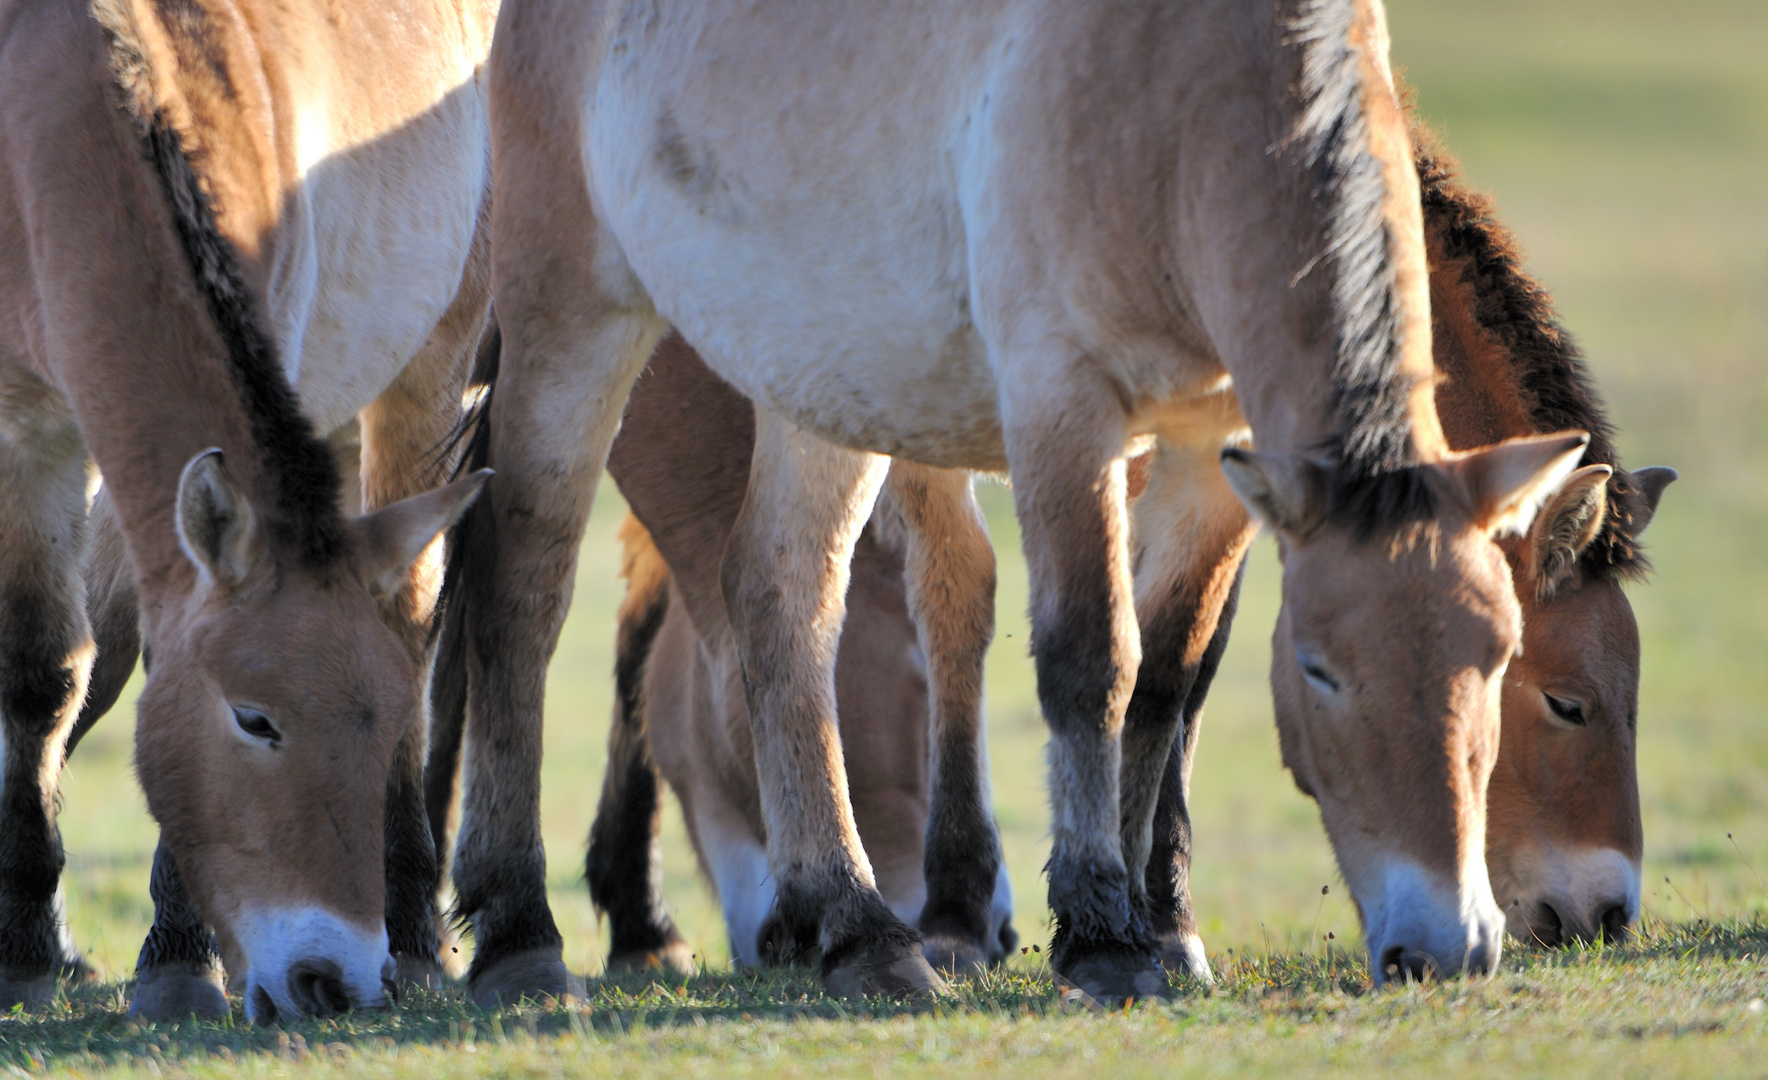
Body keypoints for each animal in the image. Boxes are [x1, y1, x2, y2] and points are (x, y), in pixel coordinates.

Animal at [1, 0, 498, 1025]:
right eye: (255, 719)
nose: (332, 979)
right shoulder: (26, 431)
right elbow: (41, 674)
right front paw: (24, 953)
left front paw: (178, 959)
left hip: (422, 381)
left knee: (412, 623)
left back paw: (414, 934)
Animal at [470, 0, 1591, 1003]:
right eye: (1319, 671)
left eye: (1498, 657)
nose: (1447, 946)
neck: (1188, 99)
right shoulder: (1063, 406)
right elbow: (1093, 659)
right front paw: (1100, 936)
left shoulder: (1210, 443)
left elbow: (1166, 674)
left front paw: (1158, 927)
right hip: (569, 314)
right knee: (522, 584)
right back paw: (517, 938)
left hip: (814, 378)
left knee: (780, 597)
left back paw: (857, 930)